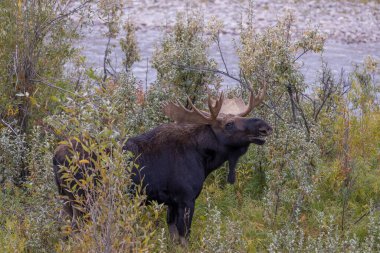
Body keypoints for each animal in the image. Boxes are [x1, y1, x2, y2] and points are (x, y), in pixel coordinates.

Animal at [54, 83, 274, 245]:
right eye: (229, 124)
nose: (264, 126)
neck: (204, 159)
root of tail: (55, 157)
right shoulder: (186, 198)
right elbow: (185, 239)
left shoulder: (171, 202)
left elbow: (173, 238)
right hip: (82, 200)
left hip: (66, 201)